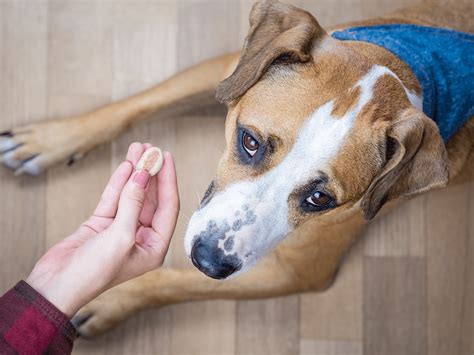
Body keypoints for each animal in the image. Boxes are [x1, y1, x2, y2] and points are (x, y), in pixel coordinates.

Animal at [0, 0, 472, 340]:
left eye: (320, 198)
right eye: (249, 141)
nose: (211, 260)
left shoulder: (296, 271)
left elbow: (173, 283)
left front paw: (107, 298)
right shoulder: (228, 69)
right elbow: (140, 103)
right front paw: (51, 139)